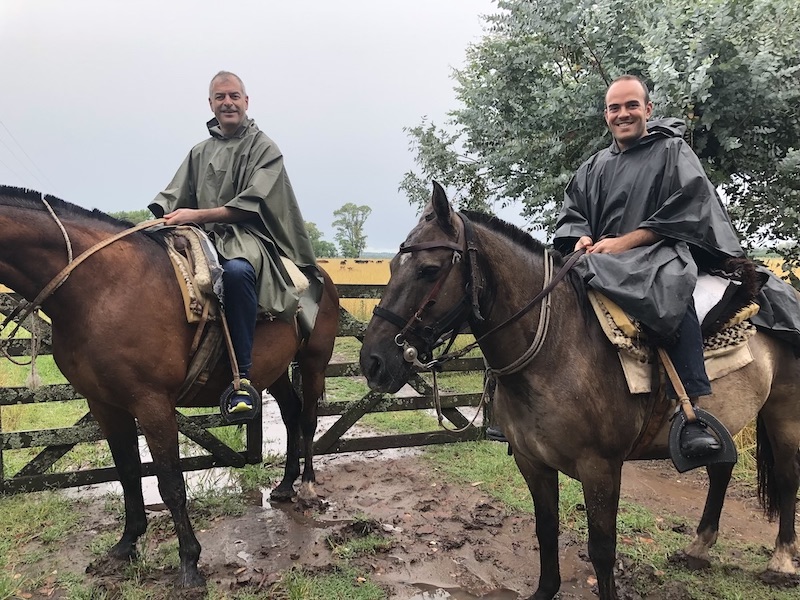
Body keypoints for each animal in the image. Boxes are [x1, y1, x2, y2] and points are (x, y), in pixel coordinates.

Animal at [0, 186, 340, 584]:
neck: (100, 288)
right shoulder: (105, 405)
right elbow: (129, 474)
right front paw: (124, 547)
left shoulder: (151, 404)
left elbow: (171, 483)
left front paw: (189, 563)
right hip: (274, 370)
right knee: (290, 414)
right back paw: (286, 485)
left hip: (314, 362)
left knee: (308, 419)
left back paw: (307, 486)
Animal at [360, 183, 796, 600]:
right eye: (392, 265)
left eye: (429, 269)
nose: (373, 362)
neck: (558, 348)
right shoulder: (532, 462)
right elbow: (545, 529)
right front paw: (545, 589)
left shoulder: (600, 468)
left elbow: (602, 549)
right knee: (722, 467)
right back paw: (698, 549)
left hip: (783, 411)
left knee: (787, 476)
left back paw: (781, 563)